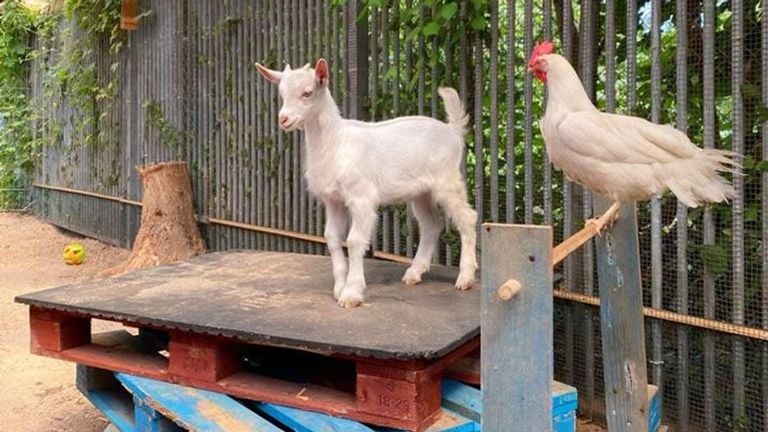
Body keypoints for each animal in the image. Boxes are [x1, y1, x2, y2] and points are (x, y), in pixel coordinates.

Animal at [256, 59, 474, 308]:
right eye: (281, 94)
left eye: (307, 93)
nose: (283, 119)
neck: (335, 142)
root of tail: (452, 131)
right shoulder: (334, 201)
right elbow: (332, 238)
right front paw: (339, 288)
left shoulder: (361, 197)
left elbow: (354, 241)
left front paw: (351, 293)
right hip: (421, 191)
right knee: (431, 224)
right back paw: (414, 273)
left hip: (447, 180)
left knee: (468, 218)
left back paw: (465, 277)